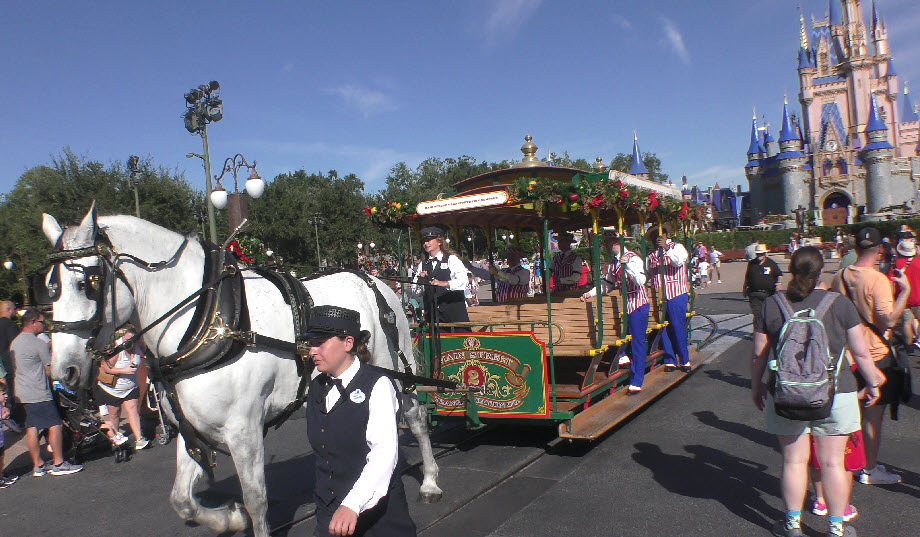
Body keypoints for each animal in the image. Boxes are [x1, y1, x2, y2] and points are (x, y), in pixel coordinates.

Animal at [43, 203, 442, 532]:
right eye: (50, 288)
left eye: (86, 283)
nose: (63, 371)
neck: (202, 322)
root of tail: (373, 280)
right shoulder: (192, 430)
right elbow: (182, 500)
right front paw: (228, 518)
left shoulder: (244, 430)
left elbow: (256, 501)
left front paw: (241, 514)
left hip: (395, 367)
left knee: (415, 416)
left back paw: (430, 481)